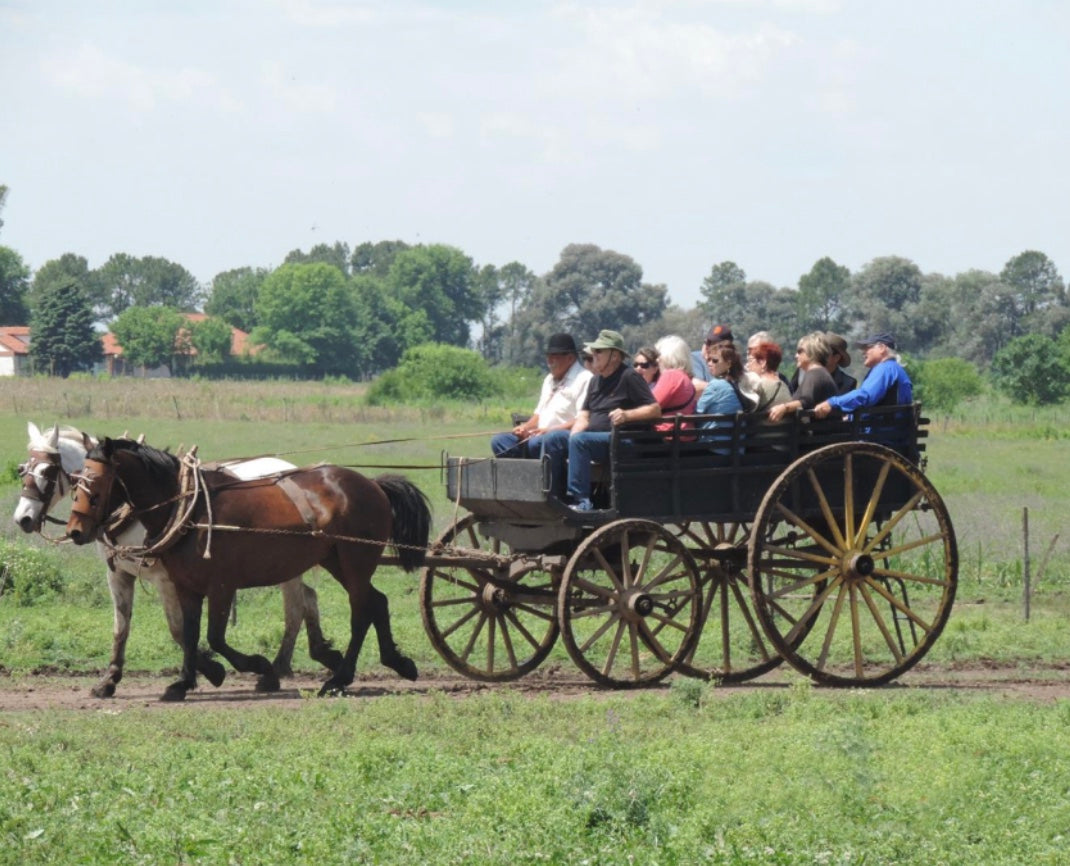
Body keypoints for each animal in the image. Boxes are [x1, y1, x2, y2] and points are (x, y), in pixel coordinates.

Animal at [13, 421, 342, 697]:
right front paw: (108, 680)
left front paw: (211, 670)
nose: (23, 519)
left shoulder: (166, 578)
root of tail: (292, 467)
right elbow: (121, 627)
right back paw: (316, 654)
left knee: (295, 607)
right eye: (23, 469)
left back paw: (279, 666)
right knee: (308, 599)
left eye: (48, 472)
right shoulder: (118, 574)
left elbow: (177, 627)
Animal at [65, 436, 430, 697]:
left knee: (360, 612)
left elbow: (214, 637)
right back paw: (397, 663)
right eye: (76, 481)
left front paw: (257, 667)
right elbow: (189, 632)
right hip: (336, 560)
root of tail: (372, 484)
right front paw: (183, 683)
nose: (75, 531)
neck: (191, 509)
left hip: (356, 561)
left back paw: (338, 679)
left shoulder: (221, 586)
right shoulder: (185, 586)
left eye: (95, 485)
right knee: (376, 602)